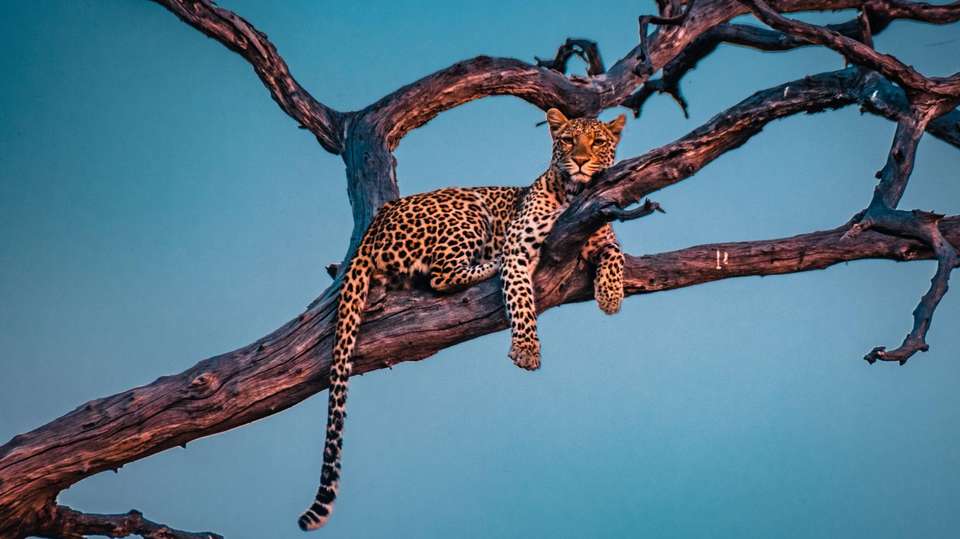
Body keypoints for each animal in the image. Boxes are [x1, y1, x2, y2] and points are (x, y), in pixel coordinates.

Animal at [298, 108, 627, 531]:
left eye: (598, 142)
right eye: (568, 140)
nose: (582, 160)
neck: (573, 195)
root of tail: (378, 220)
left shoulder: (603, 232)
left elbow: (615, 254)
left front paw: (611, 296)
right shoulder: (519, 250)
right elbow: (521, 302)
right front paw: (526, 349)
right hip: (468, 209)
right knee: (441, 275)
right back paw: (489, 263)